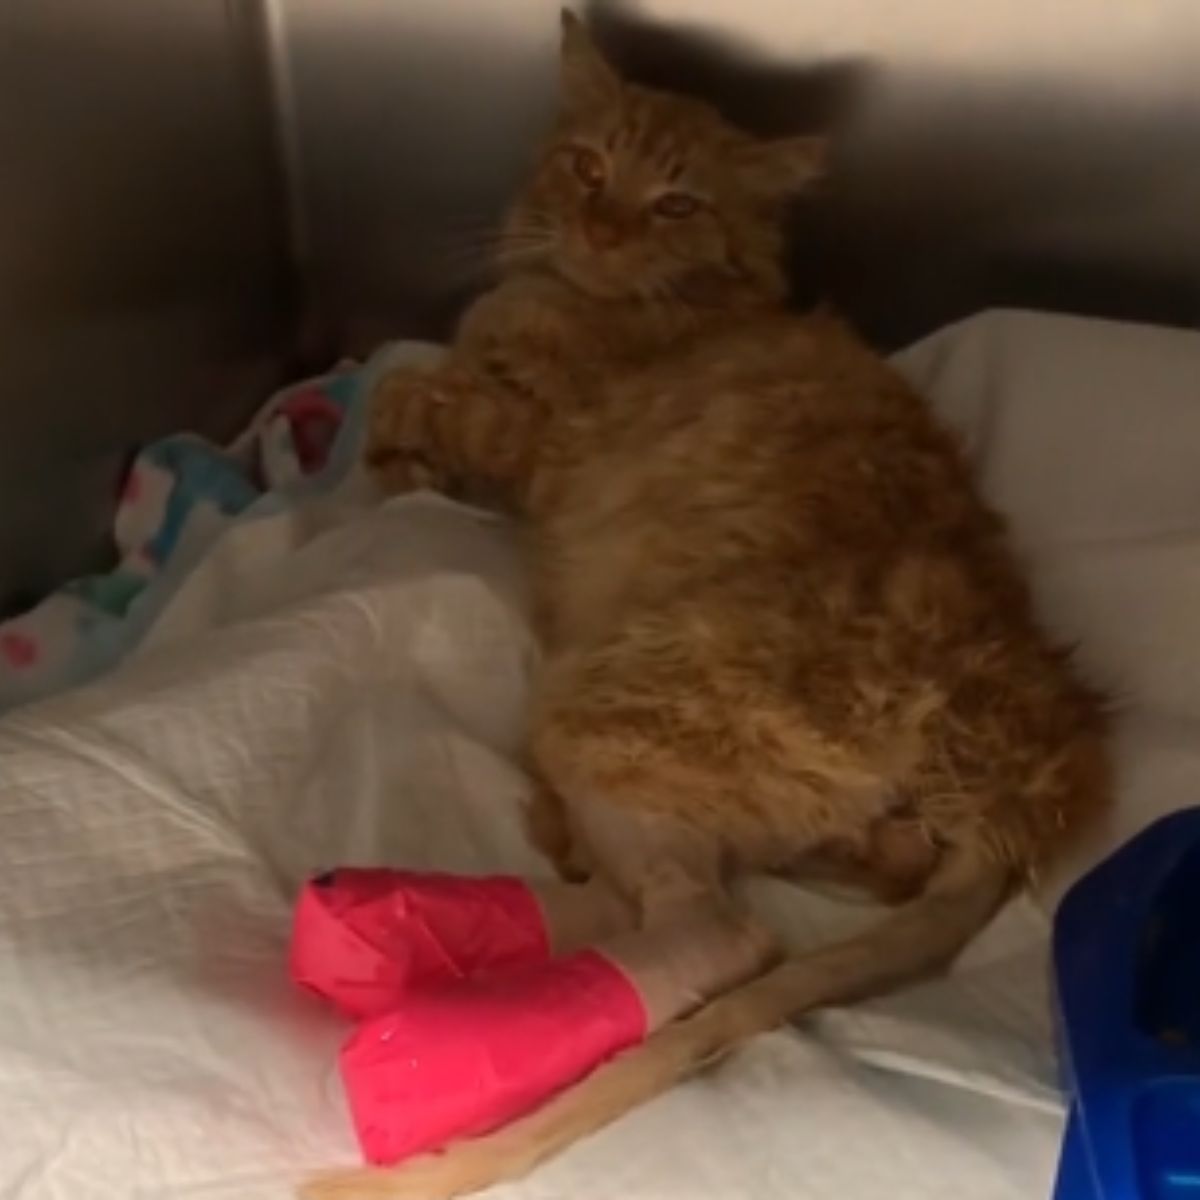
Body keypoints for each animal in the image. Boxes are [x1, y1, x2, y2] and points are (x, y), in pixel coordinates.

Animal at [309, 11, 1113, 1200]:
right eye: (590, 167)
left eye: (677, 204)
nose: (598, 228)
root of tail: (1031, 775)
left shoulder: (535, 440)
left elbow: (423, 398)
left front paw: (393, 438)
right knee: (866, 866)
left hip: (617, 708)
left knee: (714, 932)